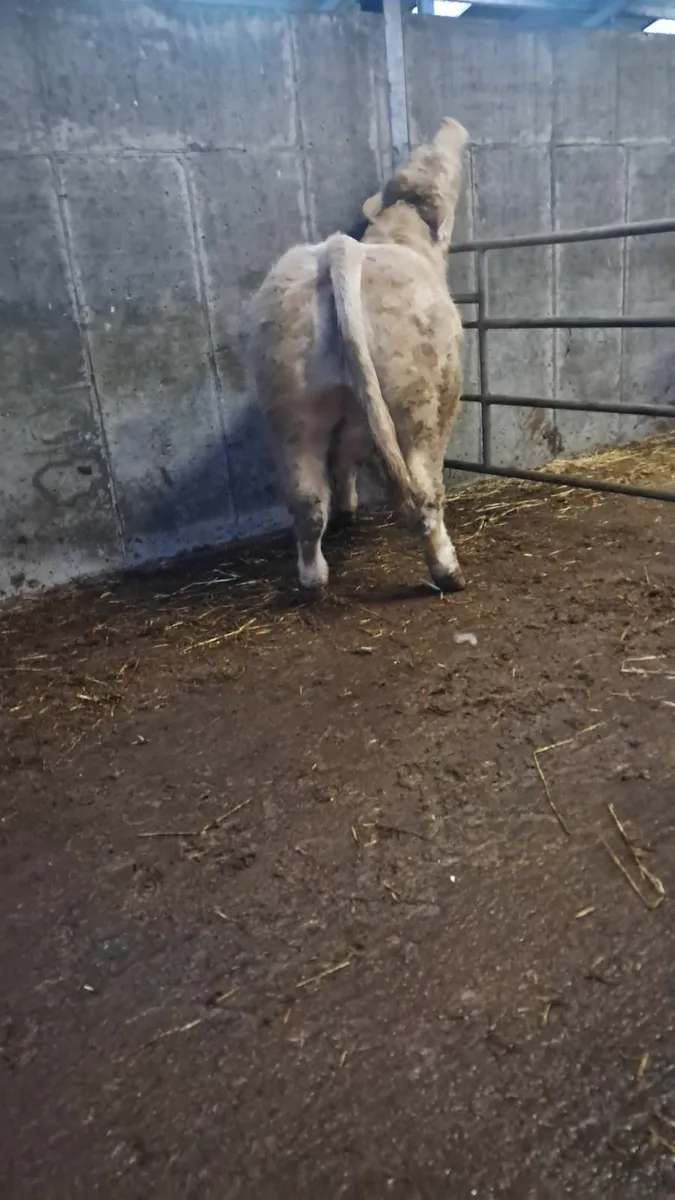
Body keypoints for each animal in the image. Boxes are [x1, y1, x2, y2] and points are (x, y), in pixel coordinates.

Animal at [248, 117, 468, 596]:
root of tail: (341, 248)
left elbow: (343, 461)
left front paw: (349, 510)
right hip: (419, 405)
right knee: (424, 493)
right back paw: (448, 570)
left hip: (291, 408)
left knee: (308, 499)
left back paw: (314, 578)